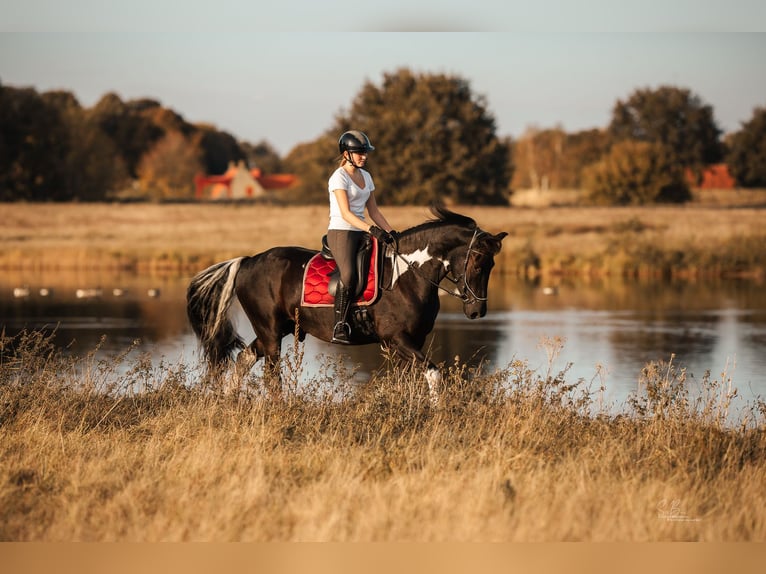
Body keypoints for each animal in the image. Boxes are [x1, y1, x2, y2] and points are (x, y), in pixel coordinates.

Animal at [187, 206, 510, 400]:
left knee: (243, 361)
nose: (477, 311)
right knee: (270, 375)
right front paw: (437, 411)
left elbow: (406, 381)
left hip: (277, 330)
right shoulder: (397, 339)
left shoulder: (411, 341)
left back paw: (229, 404)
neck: (407, 275)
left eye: (493, 265)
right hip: (270, 332)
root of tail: (248, 261)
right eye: (477, 263)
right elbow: (434, 373)